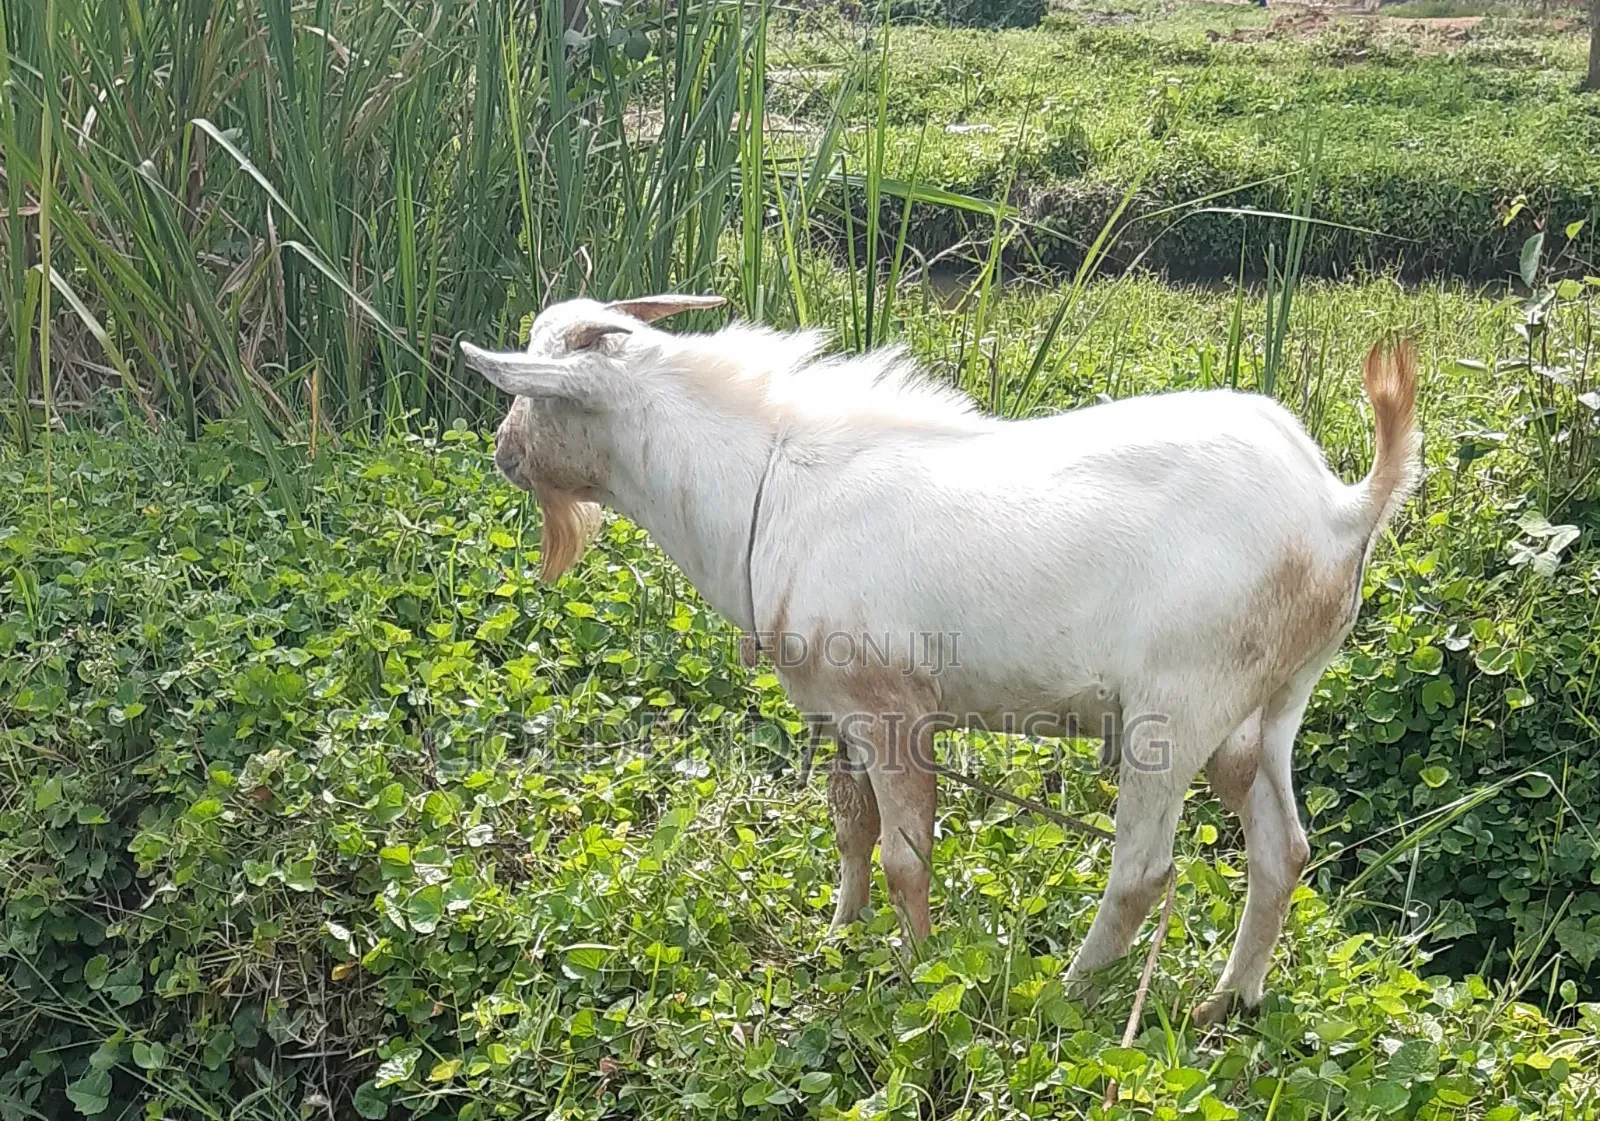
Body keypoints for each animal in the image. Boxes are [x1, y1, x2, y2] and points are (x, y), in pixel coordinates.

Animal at [462, 293, 1420, 1023]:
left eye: (537, 398)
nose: (502, 451)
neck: (767, 482)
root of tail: (1341, 508)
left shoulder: (894, 707)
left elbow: (906, 855)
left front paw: (917, 975)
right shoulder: (831, 706)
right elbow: (852, 824)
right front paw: (838, 937)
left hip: (1176, 707)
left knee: (1143, 869)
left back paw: (1069, 991)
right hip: (1263, 710)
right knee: (1283, 848)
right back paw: (1227, 1001)